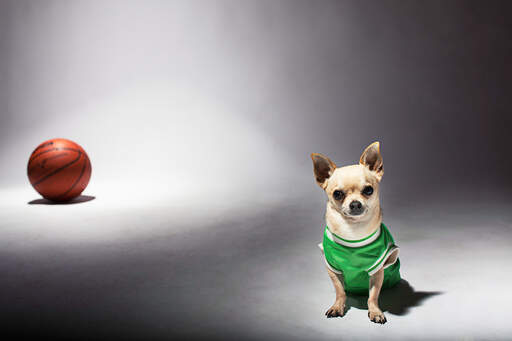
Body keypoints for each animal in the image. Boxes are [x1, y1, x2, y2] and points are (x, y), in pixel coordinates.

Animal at [312, 142, 400, 322]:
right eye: (337, 194)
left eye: (368, 190)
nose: (355, 204)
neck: (353, 230)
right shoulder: (332, 268)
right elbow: (340, 291)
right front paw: (337, 306)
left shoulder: (377, 270)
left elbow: (373, 295)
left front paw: (375, 311)